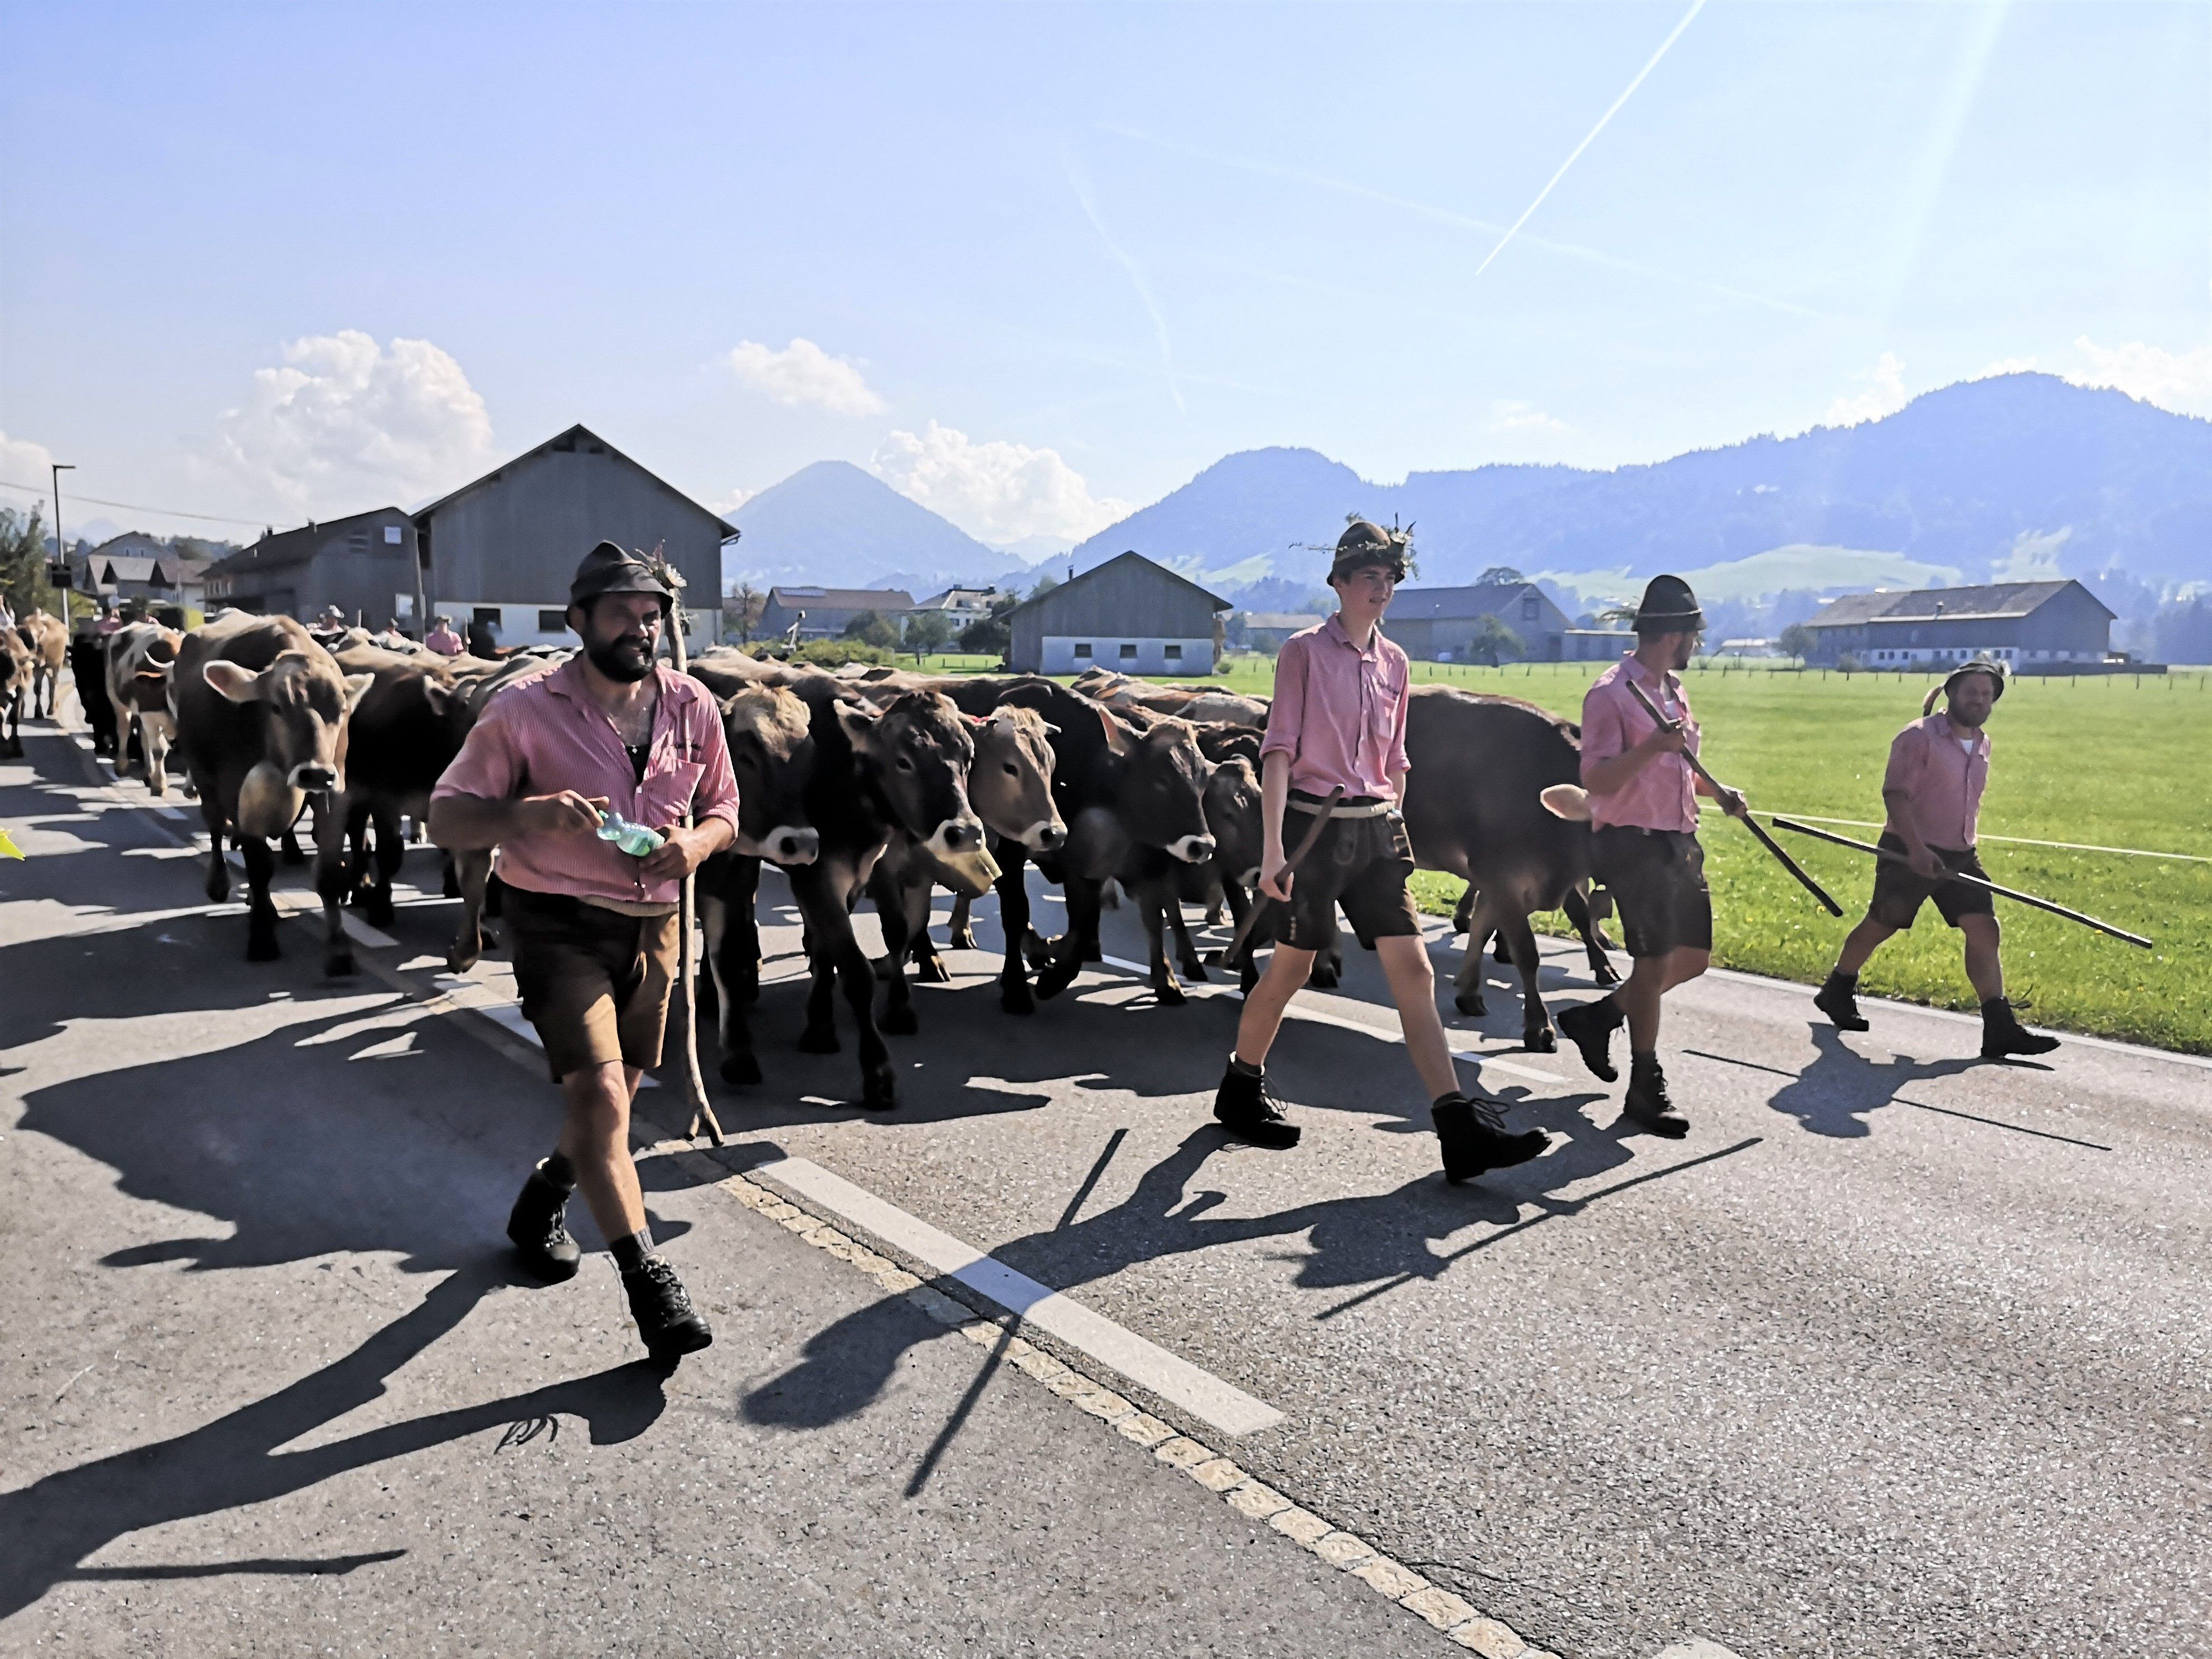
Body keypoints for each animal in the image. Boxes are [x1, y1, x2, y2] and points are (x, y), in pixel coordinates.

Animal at [174, 619, 373, 968]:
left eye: (341, 710)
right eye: (278, 708)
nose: (315, 773)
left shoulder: (334, 790)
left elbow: (329, 872)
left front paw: (339, 949)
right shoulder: (238, 794)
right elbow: (258, 868)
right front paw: (262, 939)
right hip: (205, 780)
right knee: (215, 829)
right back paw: (223, 886)